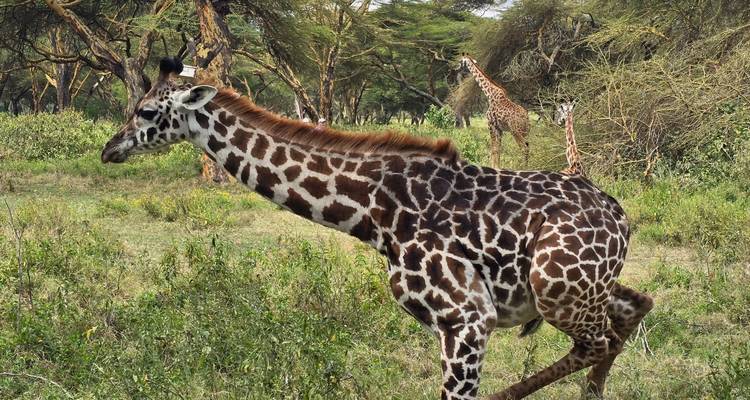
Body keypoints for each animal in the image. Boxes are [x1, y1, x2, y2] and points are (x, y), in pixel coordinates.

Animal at [101, 58, 653, 400]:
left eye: (146, 110)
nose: (110, 149)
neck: (374, 213)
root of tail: (619, 212)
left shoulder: (466, 318)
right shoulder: (463, 322)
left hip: (556, 289)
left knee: (598, 339)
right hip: (579, 288)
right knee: (633, 309)